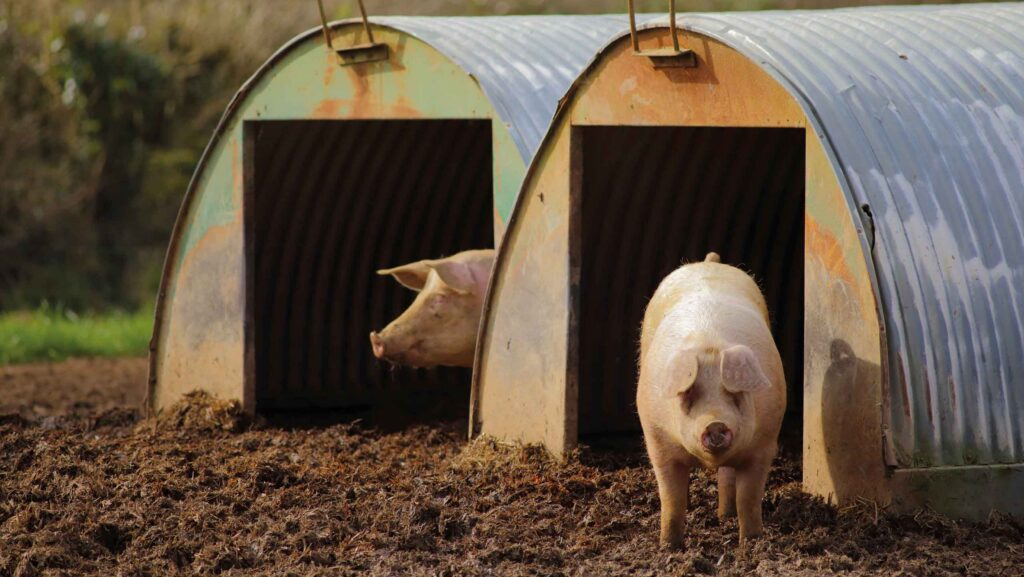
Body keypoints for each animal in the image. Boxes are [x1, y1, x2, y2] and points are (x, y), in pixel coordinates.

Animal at [636, 252, 786, 547]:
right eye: (688, 394)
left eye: (734, 394)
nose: (715, 423)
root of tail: (710, 261)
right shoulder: (656, 440)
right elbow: (671, 501)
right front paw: (669, 547)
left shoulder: (764, 444)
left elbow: (748, 499)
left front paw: (751, 543)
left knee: (727, 479)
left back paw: (725, 516)